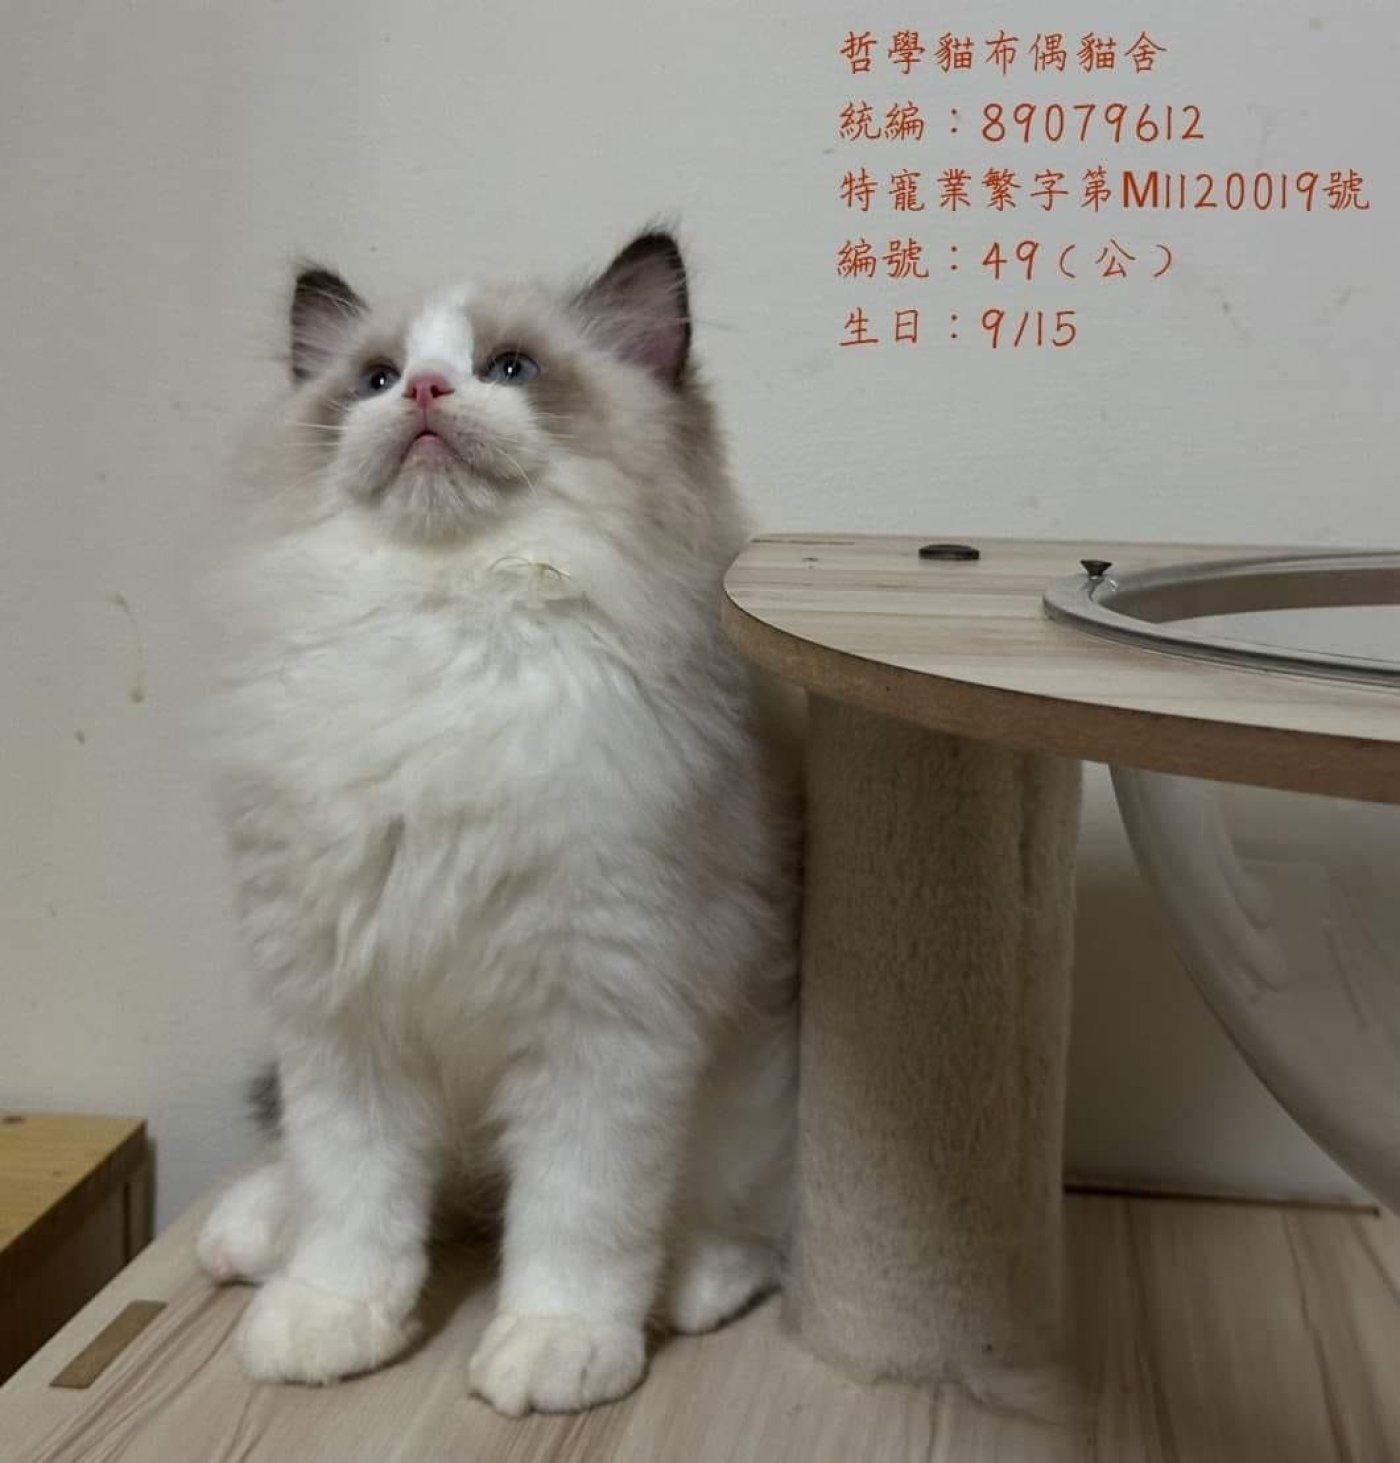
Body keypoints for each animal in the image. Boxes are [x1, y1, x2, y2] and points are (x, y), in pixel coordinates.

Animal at [194, 231, 800, 1416]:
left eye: (509, 370)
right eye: (376, 379)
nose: (427, 393)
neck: (446, 628)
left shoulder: (604, 1020)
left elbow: (578, 1220)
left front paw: (556, 1348)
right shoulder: (343, 1016)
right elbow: (353, 1203)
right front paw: (325, 1321)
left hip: (751, 1091)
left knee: (735, 1227)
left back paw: (688, 1284)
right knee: (345, 1183)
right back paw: (251, 1233)